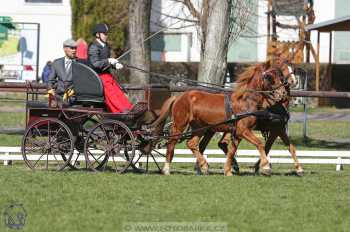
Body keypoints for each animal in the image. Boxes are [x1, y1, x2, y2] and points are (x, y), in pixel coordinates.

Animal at [152, 62, 288, 175]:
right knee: (172, 143)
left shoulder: (238, 133)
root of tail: (179, 97)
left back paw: (204, 166)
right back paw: (166, 169)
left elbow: (232, 151)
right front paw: (266, 167)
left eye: (281, 77)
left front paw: (228, 171)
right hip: (179, 125)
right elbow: (259, 143)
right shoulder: (243, 130)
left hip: (200, 127)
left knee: (191, 143)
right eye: (269, 77)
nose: (282, 93)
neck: (246, 101)